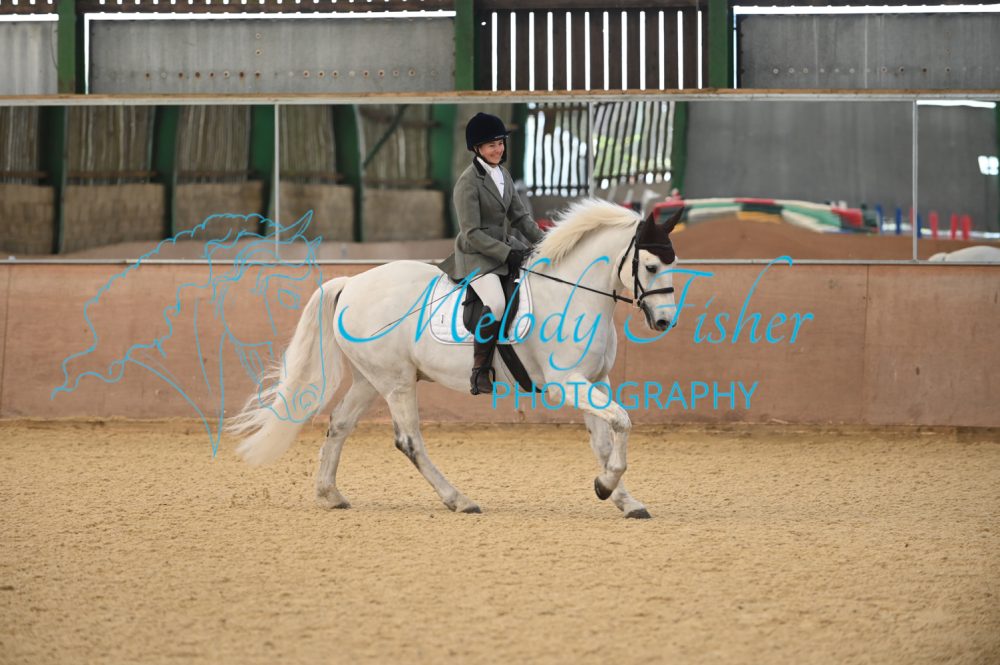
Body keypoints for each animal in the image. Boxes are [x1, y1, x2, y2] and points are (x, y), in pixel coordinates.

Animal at [229, 199, 684, 518]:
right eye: (650, 265)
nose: (663, 321)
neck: (570, 293)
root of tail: (350, 283)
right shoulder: (566, 382)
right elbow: (622, 422)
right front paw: (606, 486)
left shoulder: (593, 381)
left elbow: (605, 439)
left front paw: (622, 498)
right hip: (396, 381)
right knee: (409, 441)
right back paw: (459, 500)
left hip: (370, 379)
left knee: (339, 425)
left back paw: (330, 495)